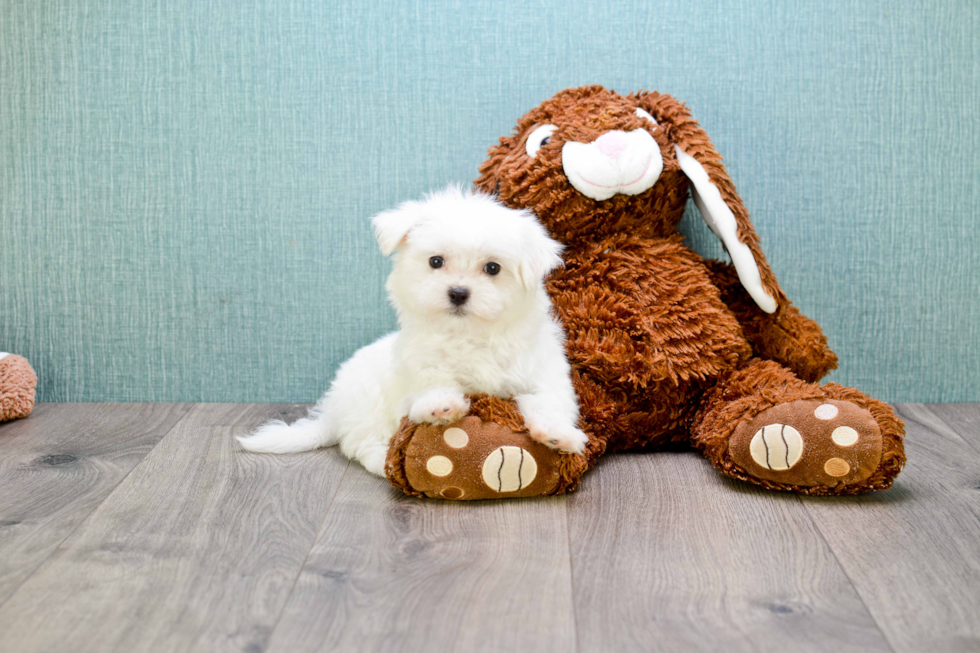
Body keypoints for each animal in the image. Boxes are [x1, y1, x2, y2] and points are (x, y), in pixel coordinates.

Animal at [237, 183, 588, 474]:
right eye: (436, 261)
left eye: (492, 268)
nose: (458, 293)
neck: (469, 334)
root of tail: (332, 412)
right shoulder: (419, 368)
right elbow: (432, 384)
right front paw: (441, 405)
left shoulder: (542, 371)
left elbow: (549, 400)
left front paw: (557, 434)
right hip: (367, 405)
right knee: (360, 445)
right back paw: (386, 463)